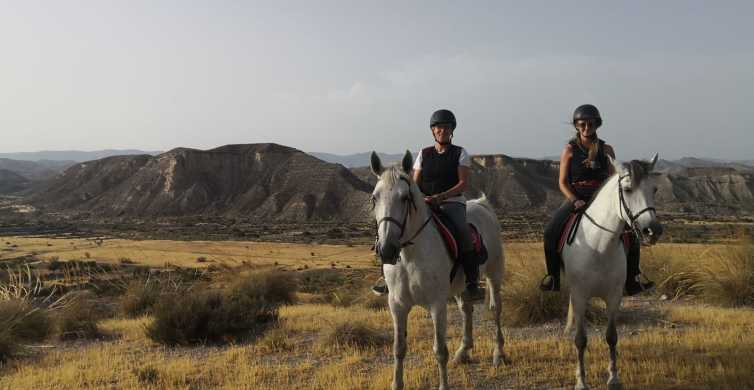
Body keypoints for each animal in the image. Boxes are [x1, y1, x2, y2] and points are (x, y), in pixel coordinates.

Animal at [370, 151, 506, 390]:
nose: (386, 250)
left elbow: (440, 351)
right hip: (462, 286)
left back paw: (498, 354)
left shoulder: (437, 305)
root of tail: (482, 204)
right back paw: (463, 352)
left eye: (405, 198)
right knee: (466, 310)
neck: (410, 256)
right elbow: (398, 349)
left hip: (493, 274)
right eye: (375, 198)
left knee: (495, 309)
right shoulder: (397, 306)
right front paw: (397, 383)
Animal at [560, 154, 660, 388]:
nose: (653, 231)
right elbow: (580, 339)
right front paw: (581, 381)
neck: (599, 246)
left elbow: (611, 337)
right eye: (628, 189)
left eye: (654, 189)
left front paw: (613, 378)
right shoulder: (580, 297)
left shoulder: (614, 297)